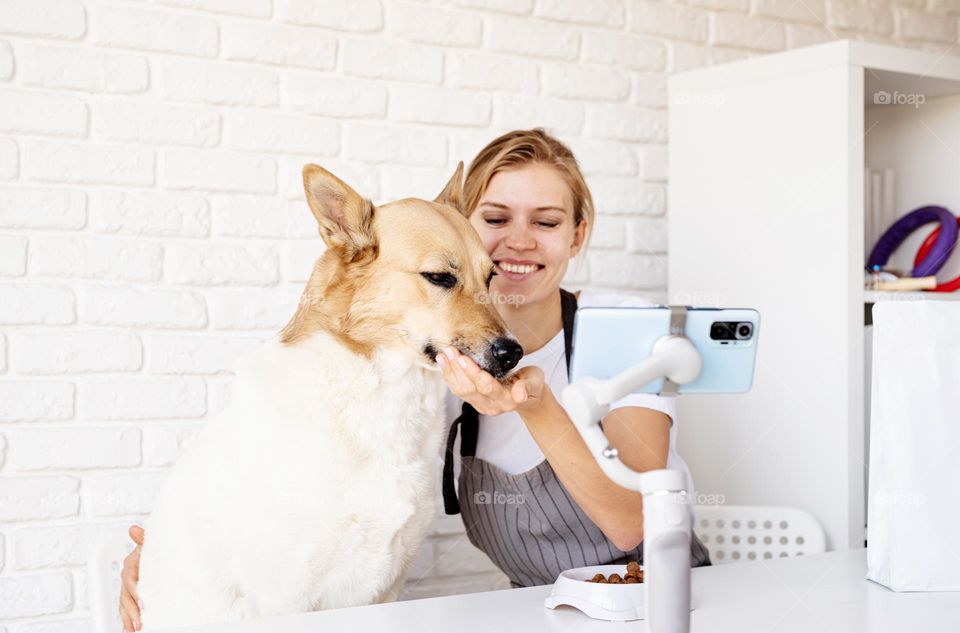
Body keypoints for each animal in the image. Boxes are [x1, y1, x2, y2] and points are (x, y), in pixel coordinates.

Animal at [137, 163, 516, 628]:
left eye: (491, 277)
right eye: (440, 277)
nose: (513, 352)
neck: (381, 393)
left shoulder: (389, 585)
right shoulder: (284, 596)